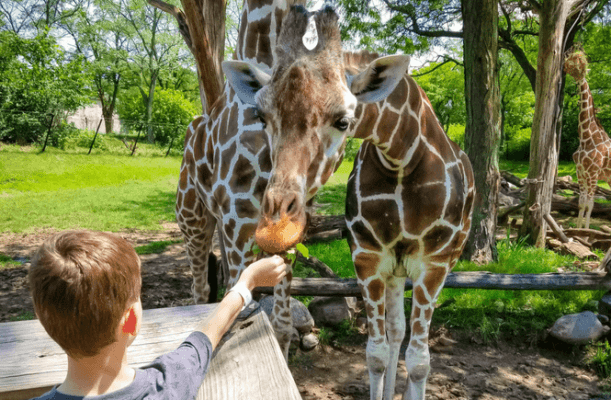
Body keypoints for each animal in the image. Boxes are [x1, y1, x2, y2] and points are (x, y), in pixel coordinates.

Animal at [175, 1, 408, 358]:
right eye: (261, 115)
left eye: (344, 120)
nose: (277, 207)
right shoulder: (238, 221)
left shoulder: (285, 234)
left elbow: (282, 326)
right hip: (193, 218)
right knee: (199, 290)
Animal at [564, 49, 611, 228]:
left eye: (577, 62)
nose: (564, 66)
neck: (585, 138)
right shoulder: (581, 172)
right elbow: (581, 203)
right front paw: (578, 229)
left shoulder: (592, 174)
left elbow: (590, 204)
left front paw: (586, 230)